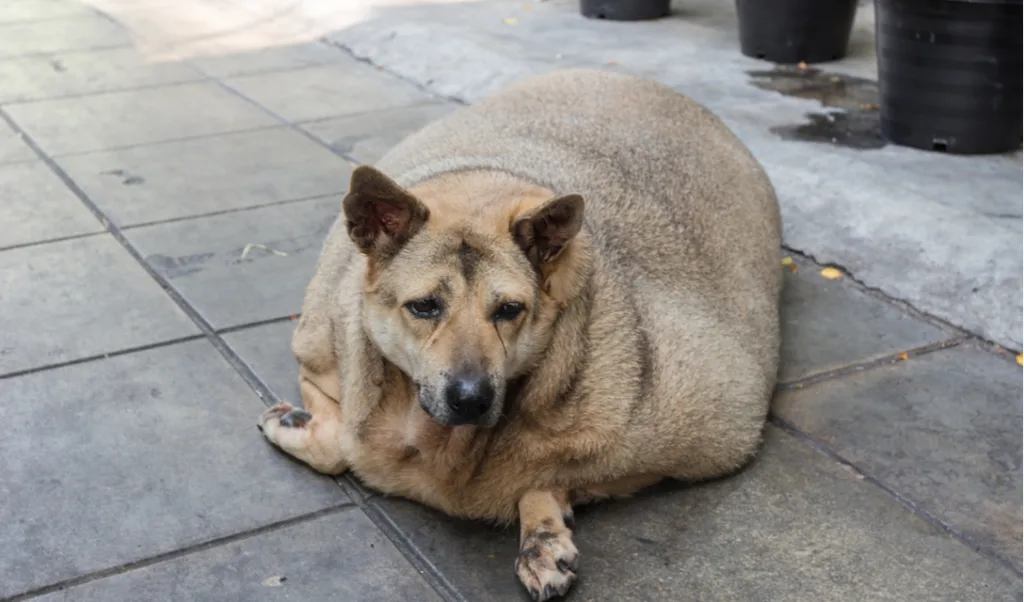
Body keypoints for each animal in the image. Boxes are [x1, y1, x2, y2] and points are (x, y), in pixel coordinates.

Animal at [260, 69, 778, 597]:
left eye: (510, 310)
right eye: (424, 306)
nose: (471, 398)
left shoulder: (717, 427)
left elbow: (550, 472)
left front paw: (542, 522)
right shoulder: (319, 354)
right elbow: (338, 444)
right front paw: (296, 423)